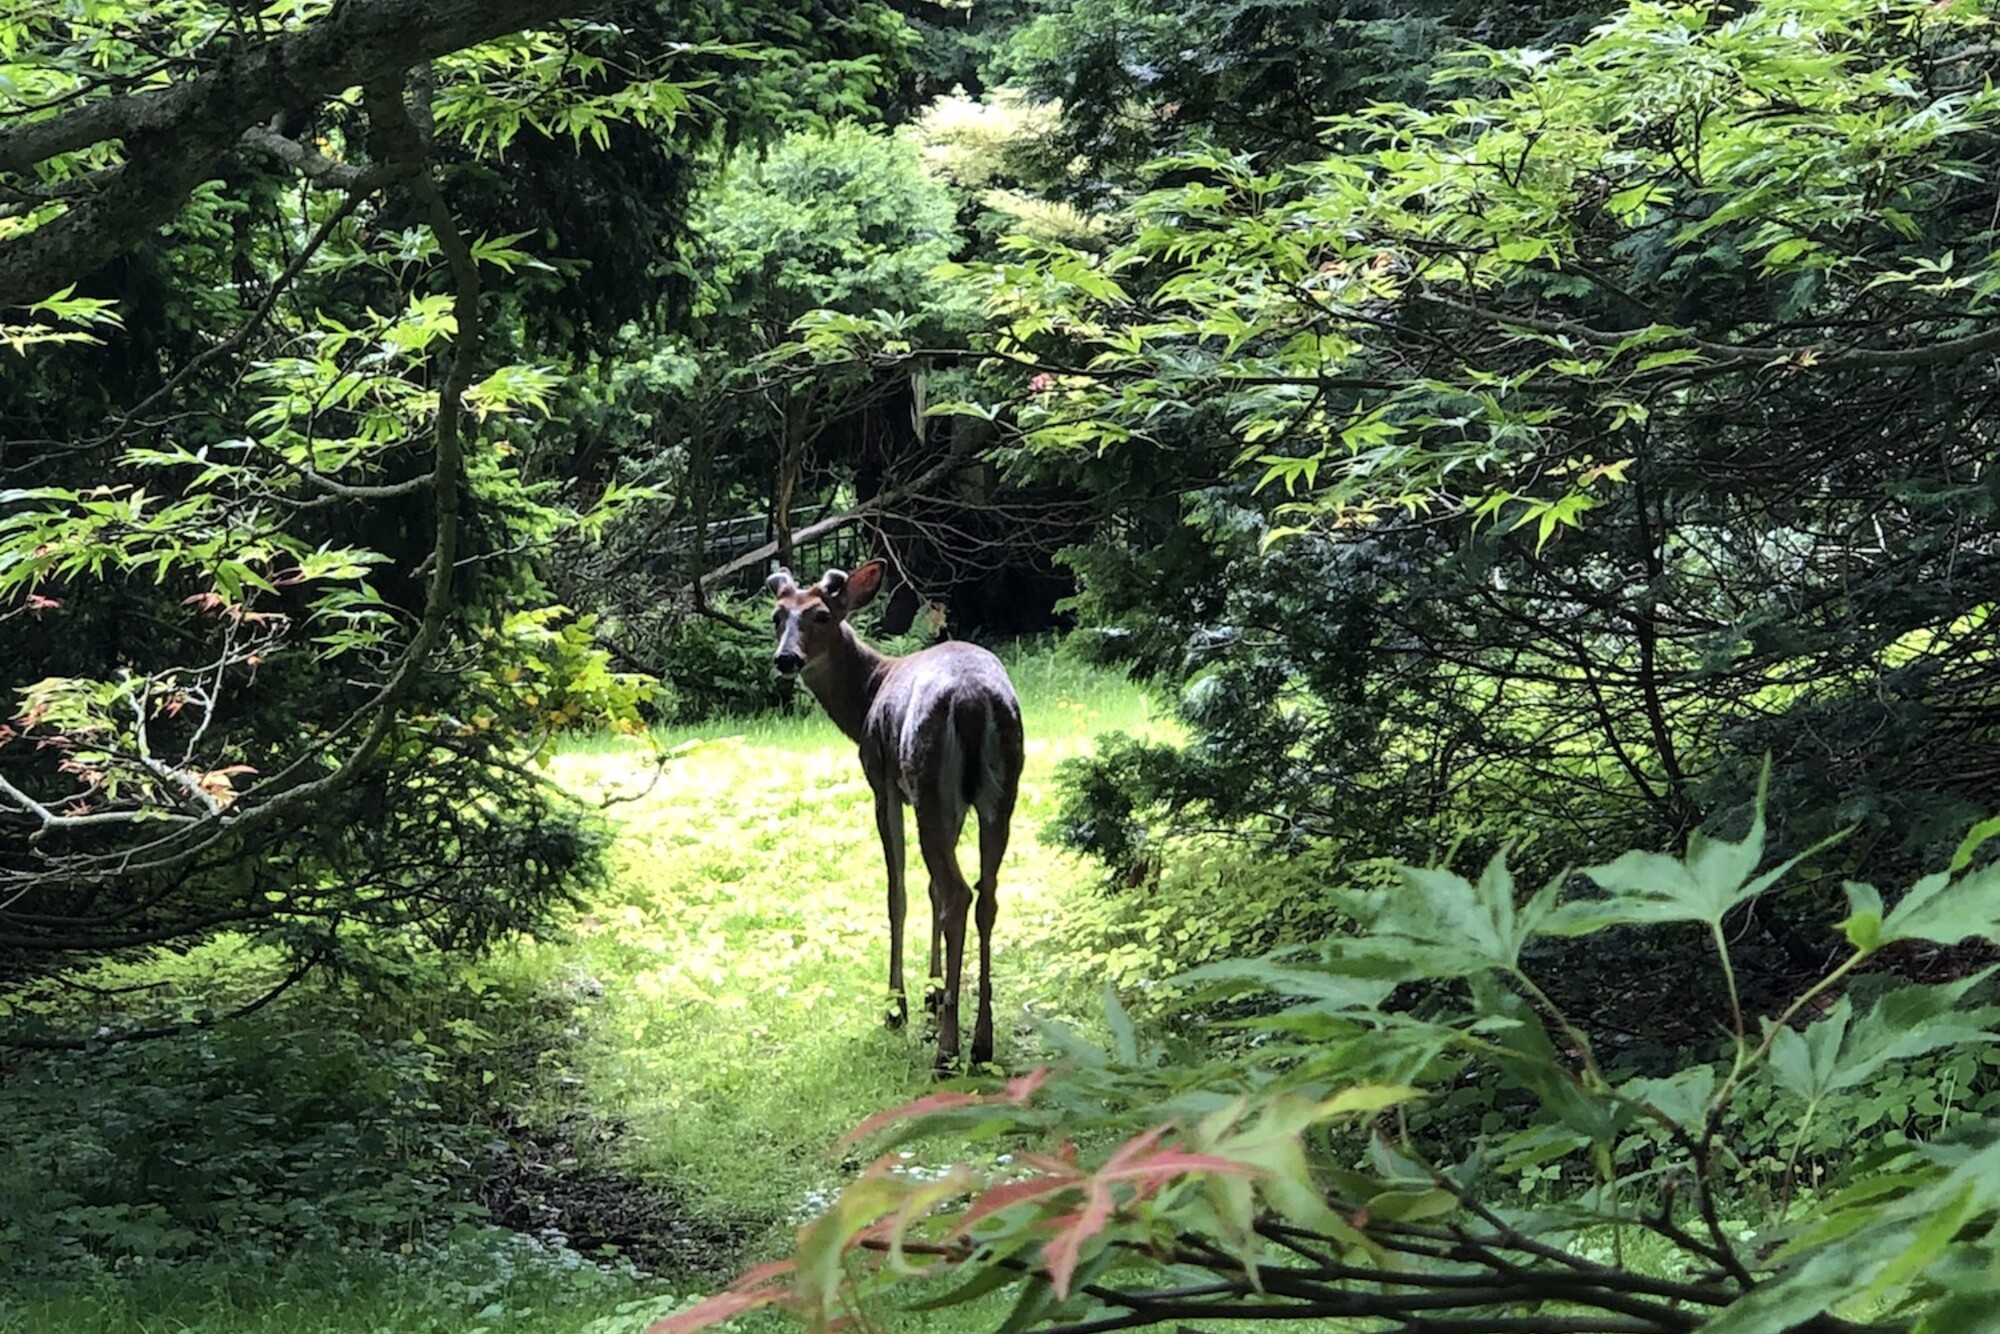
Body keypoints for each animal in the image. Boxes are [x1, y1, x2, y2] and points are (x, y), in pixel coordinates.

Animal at [766, 559, 1024, 1071]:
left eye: (821, 614)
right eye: (776, 616)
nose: (786, 659)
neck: (867, 694)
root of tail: (971, 700)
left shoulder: (882, 782)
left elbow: (898, 891)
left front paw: (898, 1004)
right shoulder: (955, 805)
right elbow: (929, 891)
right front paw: (933, 992)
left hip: (927, 782)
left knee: (958, 893)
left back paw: (947, 1050)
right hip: (998, 791)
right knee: (983, 895)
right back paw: (981, 1041)